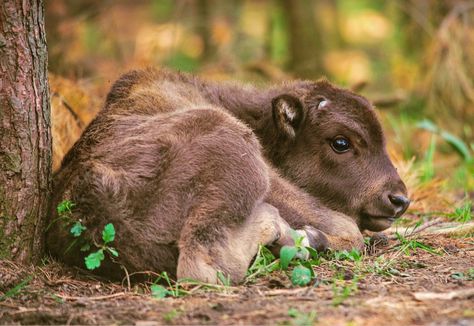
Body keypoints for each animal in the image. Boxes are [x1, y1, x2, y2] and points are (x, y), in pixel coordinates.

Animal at [46, 69, 410, 282]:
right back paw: (283, 234)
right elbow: (347, 229)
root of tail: (96, 204)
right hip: (233, 146)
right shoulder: (268, 174)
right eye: (340, 142)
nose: (399, 199)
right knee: (202, 268)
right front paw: (312, 237)